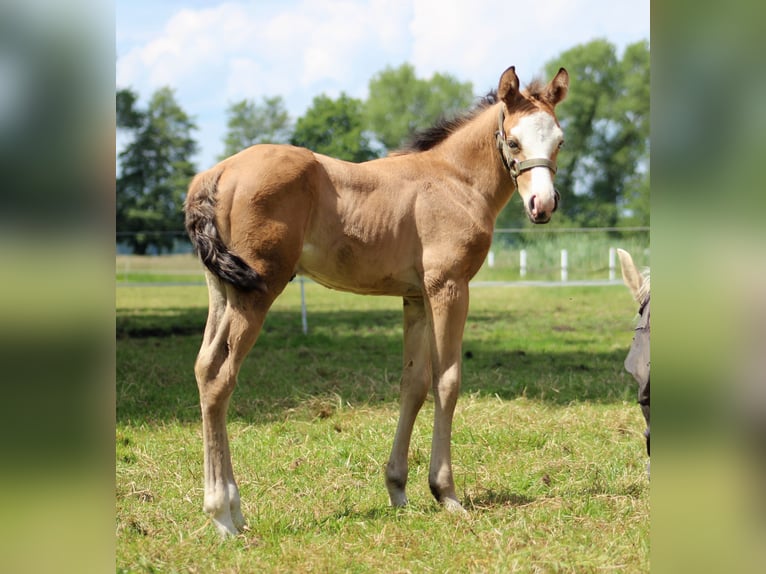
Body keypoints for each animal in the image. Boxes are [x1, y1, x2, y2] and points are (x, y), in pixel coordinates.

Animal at [186, 65, 568, 536]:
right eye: (513, 141)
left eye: (559, 141)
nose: (542, 205)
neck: (454, 179)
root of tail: (215, 174)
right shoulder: (449, 287)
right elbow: (448, 382)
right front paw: (446, 493)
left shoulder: (416, 297)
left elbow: (414, 384)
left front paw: (398, 489)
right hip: (255, 291)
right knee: (220, 376)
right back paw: (224, 515)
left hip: (221, 290)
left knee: (204, 367)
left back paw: (232, 510)